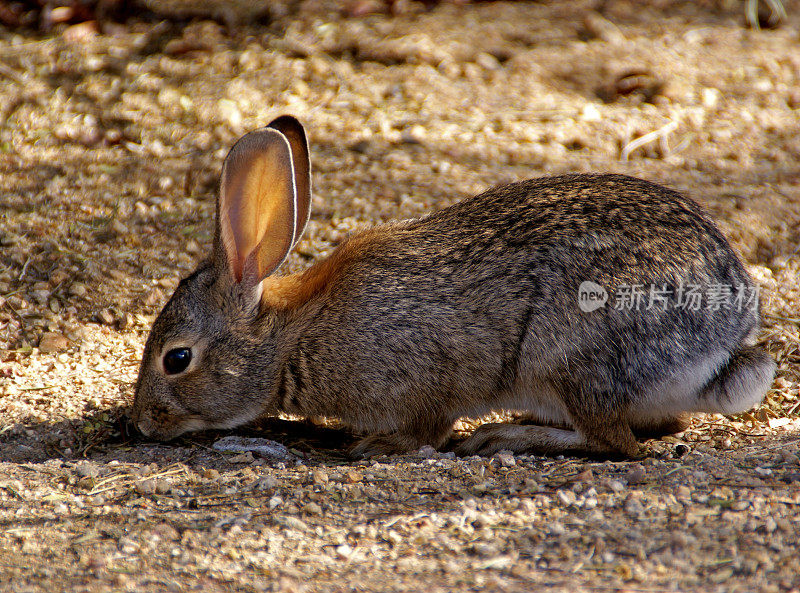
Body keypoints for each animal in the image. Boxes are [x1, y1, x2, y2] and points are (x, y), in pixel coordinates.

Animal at [131, 115, 776, 458]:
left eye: (177, 359)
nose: (140, 424)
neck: (290, 338)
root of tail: (729, 339)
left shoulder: (424, 378)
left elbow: (427, 427)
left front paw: (376, 447)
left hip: (569, 356)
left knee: (614, 442)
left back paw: (504, 435)